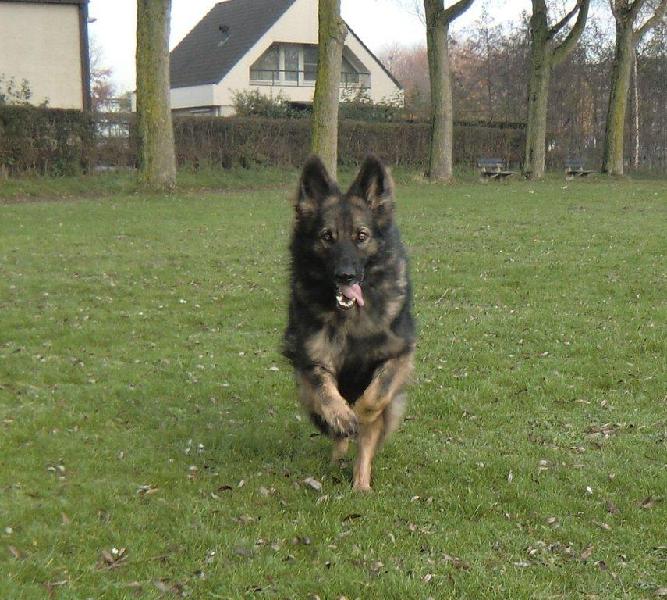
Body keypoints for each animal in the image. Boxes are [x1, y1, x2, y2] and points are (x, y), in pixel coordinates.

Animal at [282, 154, 416, 491]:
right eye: (327, 237)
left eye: (361, 236)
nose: (346, 276)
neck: (351, 319)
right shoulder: (311, 358)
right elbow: (326, 392)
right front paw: (343, 417)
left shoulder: (399, 353)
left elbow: (376, 396)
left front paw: (360, 414)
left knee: (368, 439)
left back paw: (361, 485)